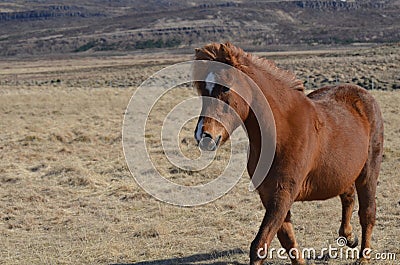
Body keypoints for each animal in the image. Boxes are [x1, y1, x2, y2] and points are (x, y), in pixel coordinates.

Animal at [194, 42, 384, 262]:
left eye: (225, 87)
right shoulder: (269, 195)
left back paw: (363, 257)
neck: (282, 132)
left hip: (368, 173)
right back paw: (349, 237)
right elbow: (287, 239)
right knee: (348, 196)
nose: (204, 136)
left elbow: (260, 244)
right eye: (201, 89)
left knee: (367, 213)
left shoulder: (283, 194)